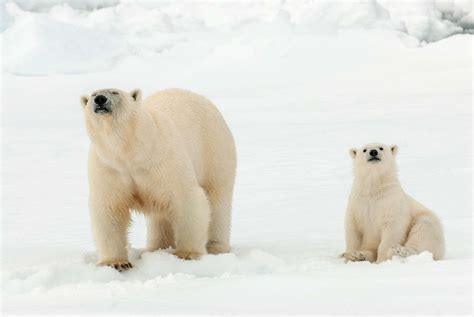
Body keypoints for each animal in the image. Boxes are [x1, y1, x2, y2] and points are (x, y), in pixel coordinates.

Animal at [81, 87, 239, 270]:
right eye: (93, 94)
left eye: (115, 92)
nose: (100, 99)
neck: (129, 152)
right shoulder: (109, 168)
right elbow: (109, 209)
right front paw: (116, 263)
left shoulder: (162, 159)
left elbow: (186, 199)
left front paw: (187, 253)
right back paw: (157, 247)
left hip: (214, 150)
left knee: (217, 199)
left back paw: (216, 247)